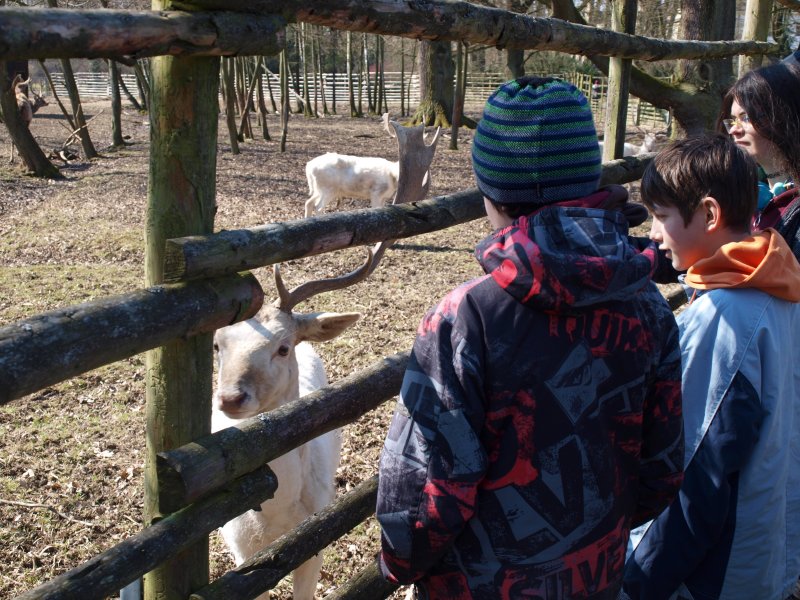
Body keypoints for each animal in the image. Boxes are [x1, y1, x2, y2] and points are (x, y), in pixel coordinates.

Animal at [211, 251, 373, 600]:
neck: (278, 518)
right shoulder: (243, 552)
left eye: (283, 348)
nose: (230, 398)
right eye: (217, 345)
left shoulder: (316, 539)